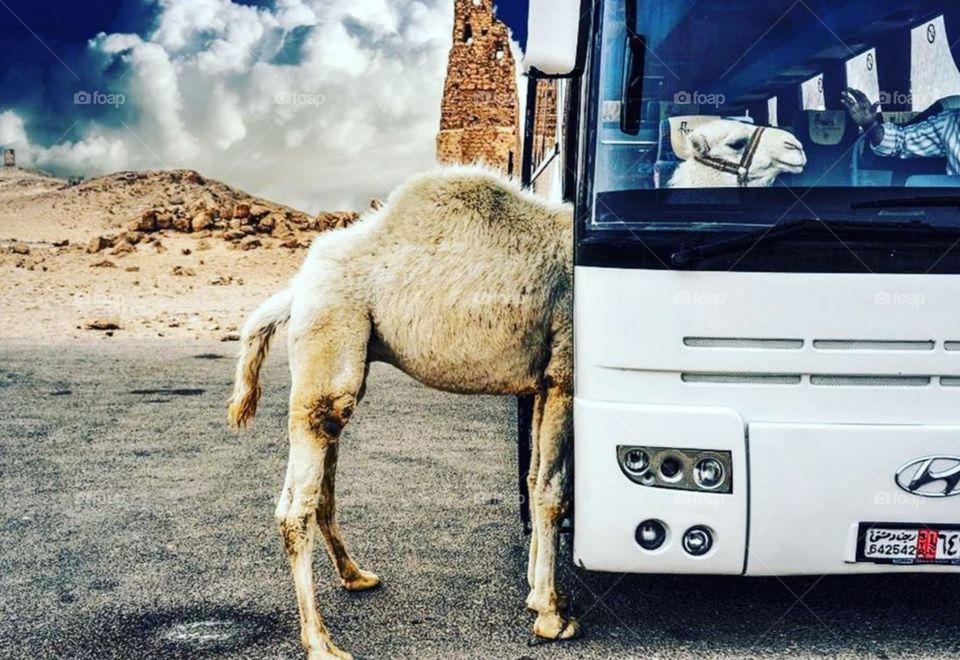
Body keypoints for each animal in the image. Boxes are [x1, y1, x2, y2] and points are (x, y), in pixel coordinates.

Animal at [228, 166, 576, 660]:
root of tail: (295, 292)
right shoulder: (566, 369)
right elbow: (553, 491)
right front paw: (551, 614)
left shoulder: (544, 381)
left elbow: (532, 478)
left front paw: (536, 592)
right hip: (330, 329)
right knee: (295, 506)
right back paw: (321, 643)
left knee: (322, 478)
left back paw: (356, 576)